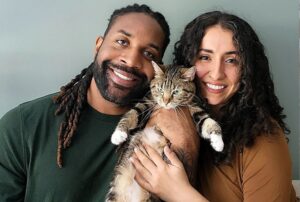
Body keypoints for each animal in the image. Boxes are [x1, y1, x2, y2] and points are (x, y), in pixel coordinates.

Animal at [105, 61, 223, 202]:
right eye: (160, 90)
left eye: (176, 92)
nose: (166, 102)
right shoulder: (148, 100)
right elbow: (133, 113)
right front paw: (118, 134)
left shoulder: (193, 105)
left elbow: (206, 120)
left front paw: (218, 141)